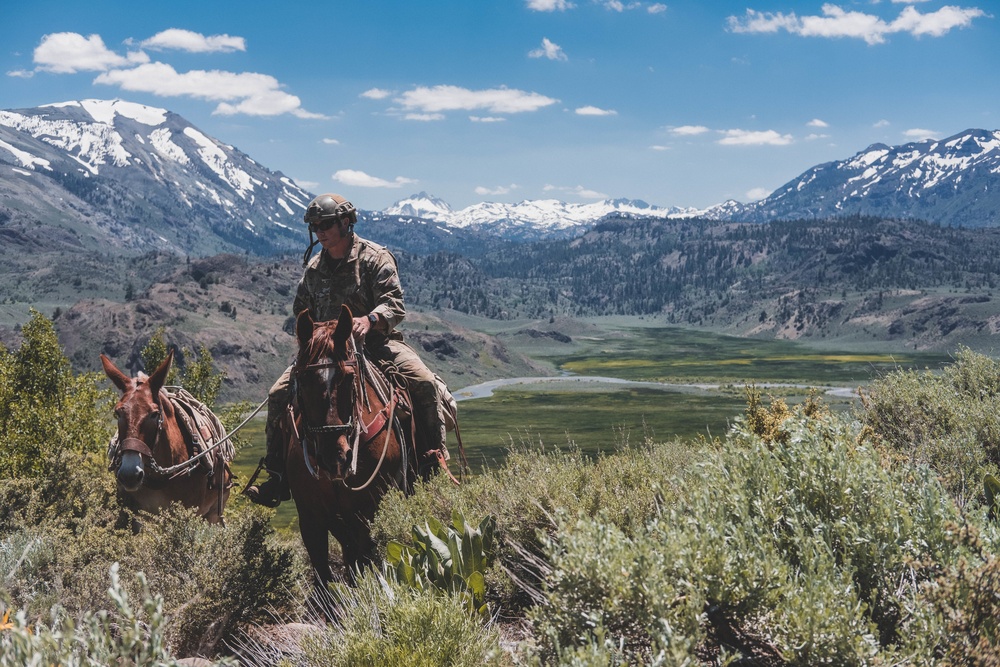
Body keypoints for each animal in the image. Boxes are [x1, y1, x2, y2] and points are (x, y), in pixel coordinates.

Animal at [286, 306, 414, 584]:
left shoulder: (365, 512)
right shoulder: (310, 518)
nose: (335, 458)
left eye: (348, 377)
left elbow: (362, 565)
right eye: (303, 377)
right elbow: (323, 576)